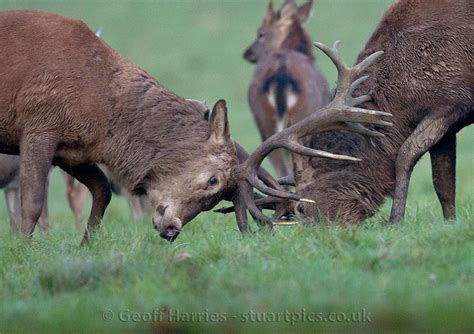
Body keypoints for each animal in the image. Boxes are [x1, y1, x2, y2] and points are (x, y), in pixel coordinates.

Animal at [286, 0, 472, 224]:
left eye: (301, 207)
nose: (307, 228)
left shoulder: (454, 102)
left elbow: (405, 155)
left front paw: (395, 220)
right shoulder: (448, 125)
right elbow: (443, 182)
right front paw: (450, 222)